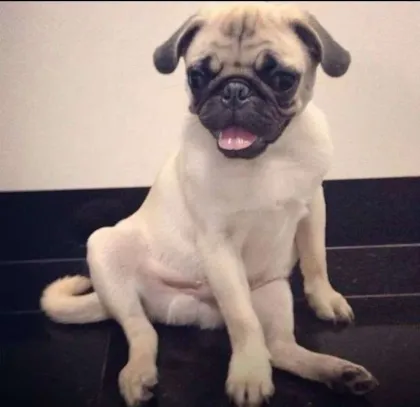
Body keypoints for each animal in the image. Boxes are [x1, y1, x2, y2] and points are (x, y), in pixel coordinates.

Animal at [41, 3, 379, 406]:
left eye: (282, 79)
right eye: (198, 75)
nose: (234, 89)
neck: (266, 158)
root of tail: (184, 308)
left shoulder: (313, 206)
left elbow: (315, 259)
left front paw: (324, 299)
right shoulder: (218, 245)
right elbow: (242, 320)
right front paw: (248, 375)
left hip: (273, 292)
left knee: (280, 348)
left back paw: (339, 373)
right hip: (106, 251)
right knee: (142, 331)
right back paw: (138, 374)